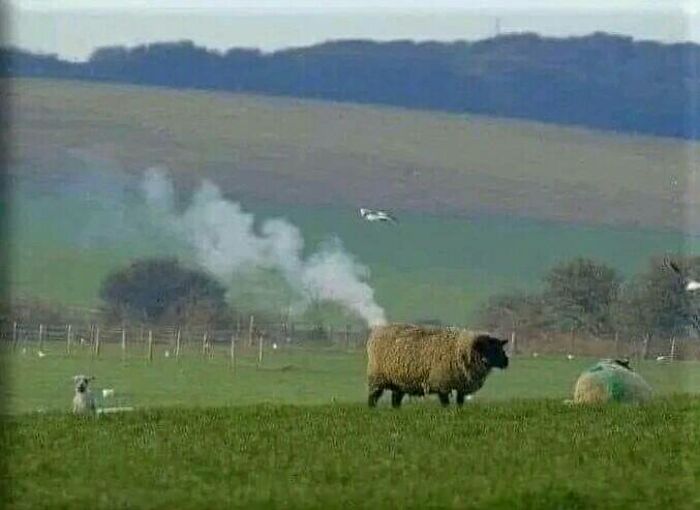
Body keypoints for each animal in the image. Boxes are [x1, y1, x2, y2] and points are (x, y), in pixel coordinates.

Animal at [366, 324, 508, 408]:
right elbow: (445, 403)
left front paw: (459, 410)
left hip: (399, 381)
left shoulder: (461, 385)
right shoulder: (442, 383)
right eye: (486, 349)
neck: (461, 350)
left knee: (395, 400)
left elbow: (460, 402)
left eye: (499, 348)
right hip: (377, 379)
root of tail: (376, 333)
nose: (506, 362)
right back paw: (372, 409)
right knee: (373, 397)